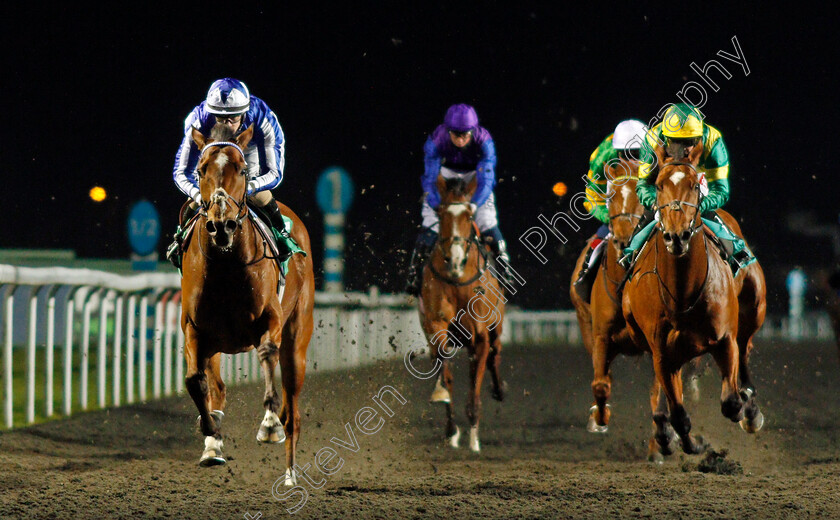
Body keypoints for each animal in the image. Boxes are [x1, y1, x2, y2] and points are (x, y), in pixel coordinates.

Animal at [180, 124, 316, 486]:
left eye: (242, 169)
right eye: (201, 170)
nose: (221, 224)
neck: (226, 265)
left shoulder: (271, 318)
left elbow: (267, 352)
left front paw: (268, 425)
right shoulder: (195, 329)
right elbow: (194, 380)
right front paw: (211, 433)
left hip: (297, 339)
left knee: (293, 410)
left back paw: (290, 474)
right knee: (217, 387)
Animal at [420, 174, 506, 450]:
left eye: (469, 216)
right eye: (442, 214)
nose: (455, 259)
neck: (457, 280)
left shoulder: (480, 337)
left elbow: (475, 381)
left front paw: (474, 439)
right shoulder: (436, 326)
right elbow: (444, 370)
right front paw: (451, 429)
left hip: (497, 329)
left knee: (495, 356)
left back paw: (499, 389)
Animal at [624, 144, 768, 458]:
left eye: (693, 185)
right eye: (658, 185)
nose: (676, 236)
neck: (683, 294)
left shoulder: (724, 339)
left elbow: (731, 402)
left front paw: (746, 409)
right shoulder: (663, 354)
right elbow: (680, 415)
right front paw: (690, 443)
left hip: (754, 308)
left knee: (745, 348)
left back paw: (751, 409)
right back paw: (662, 428)